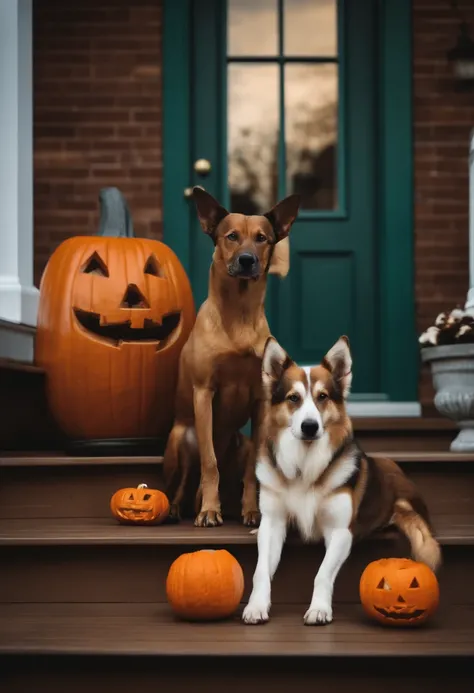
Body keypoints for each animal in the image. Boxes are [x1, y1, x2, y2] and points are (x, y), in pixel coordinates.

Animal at [163, 187, 300, 528]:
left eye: (262, 238)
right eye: (232, 236)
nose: (247, 260)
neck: (239, 314)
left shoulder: (261, 403)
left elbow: (254, 470)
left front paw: (252, 510)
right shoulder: (203, 393)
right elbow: (209, 463)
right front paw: (210, 511)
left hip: (242, 443)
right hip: (178, 442)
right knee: (184, 482)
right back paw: (177, 508)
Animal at [243, 336, 442, 628]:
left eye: (322, 397)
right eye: (294, 398)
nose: (310, 427)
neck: (305, 463)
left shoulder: (340, 532)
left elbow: (323, 573)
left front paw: (319, 609)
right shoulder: (274, 523)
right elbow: (260, 571)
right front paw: (256, 605)